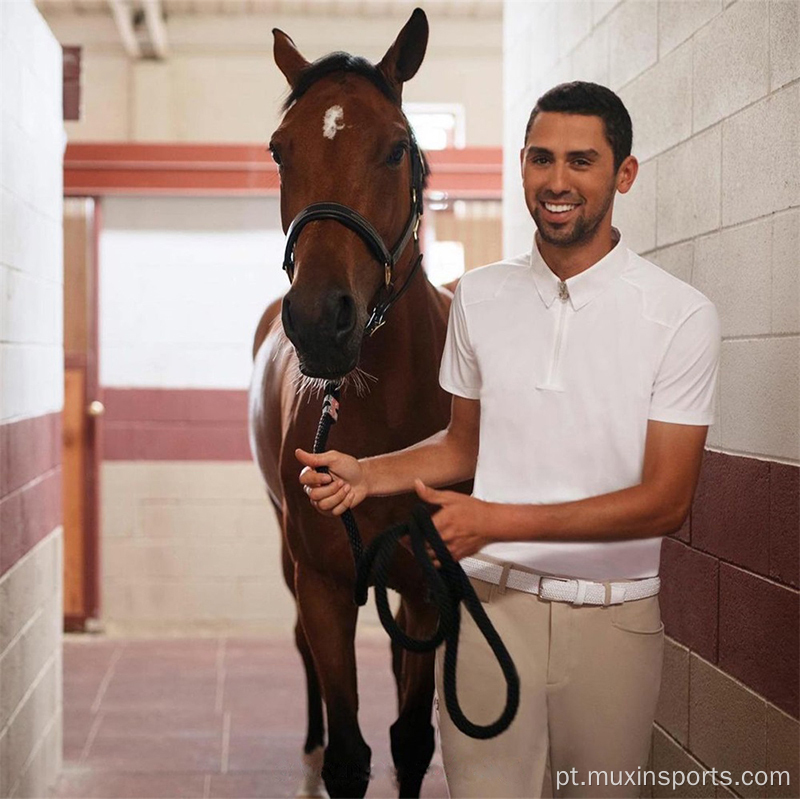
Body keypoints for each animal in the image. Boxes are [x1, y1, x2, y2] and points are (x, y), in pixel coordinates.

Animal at [247, 7, 460, 800]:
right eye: (279, 151)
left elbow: (410, 740)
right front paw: (325, 750)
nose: (317, 320)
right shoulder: (325, 584)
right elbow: (348, 755)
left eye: (396, 148)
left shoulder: (430, 586)